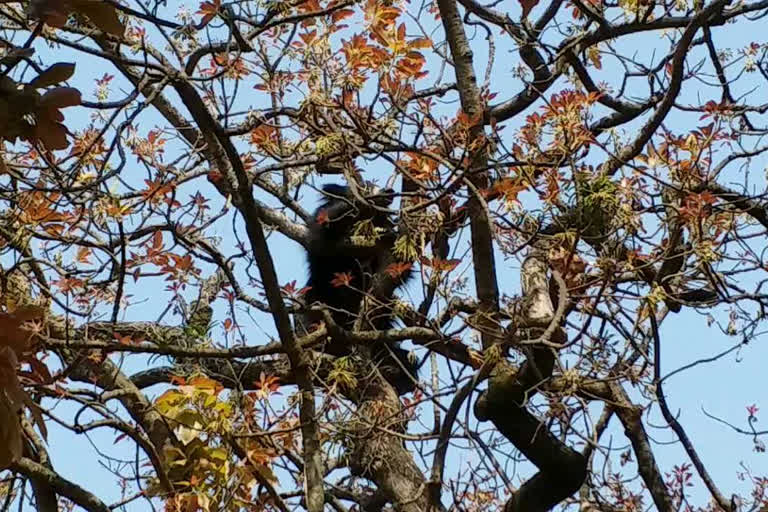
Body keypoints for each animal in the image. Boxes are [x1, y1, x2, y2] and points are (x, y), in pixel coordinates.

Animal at [300, 182, 420, 394]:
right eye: (365, 187)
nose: (388, 192)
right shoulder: (326, 251)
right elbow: (324, 233)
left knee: (405, 358)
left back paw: (394, 372)